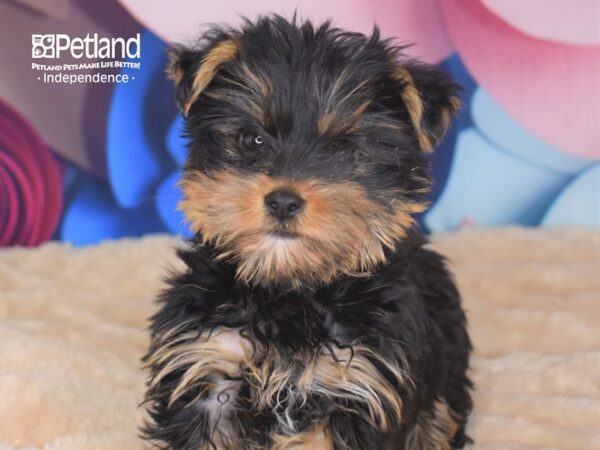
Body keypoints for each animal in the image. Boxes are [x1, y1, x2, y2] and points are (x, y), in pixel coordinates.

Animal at [143, 14, 472, 450]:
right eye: (252, 139)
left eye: (344, 149)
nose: (283, 201)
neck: (288, 290)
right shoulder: (209, 362)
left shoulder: (355, 386)